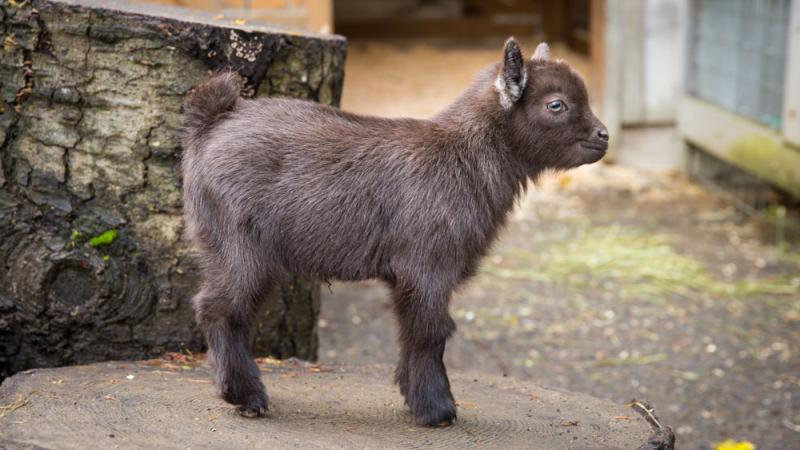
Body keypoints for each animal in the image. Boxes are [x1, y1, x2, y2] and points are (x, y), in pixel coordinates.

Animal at [181, 38, 608, 426]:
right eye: (556, 104)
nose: (603, 136)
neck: (463, 157)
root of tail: (211, 124)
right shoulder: (427, 267)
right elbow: (430, 332)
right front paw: (437, 410)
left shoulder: (410, 276)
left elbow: (410, 332)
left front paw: (414, 397)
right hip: (240, 244)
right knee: (219, 309)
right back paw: (247, 396)